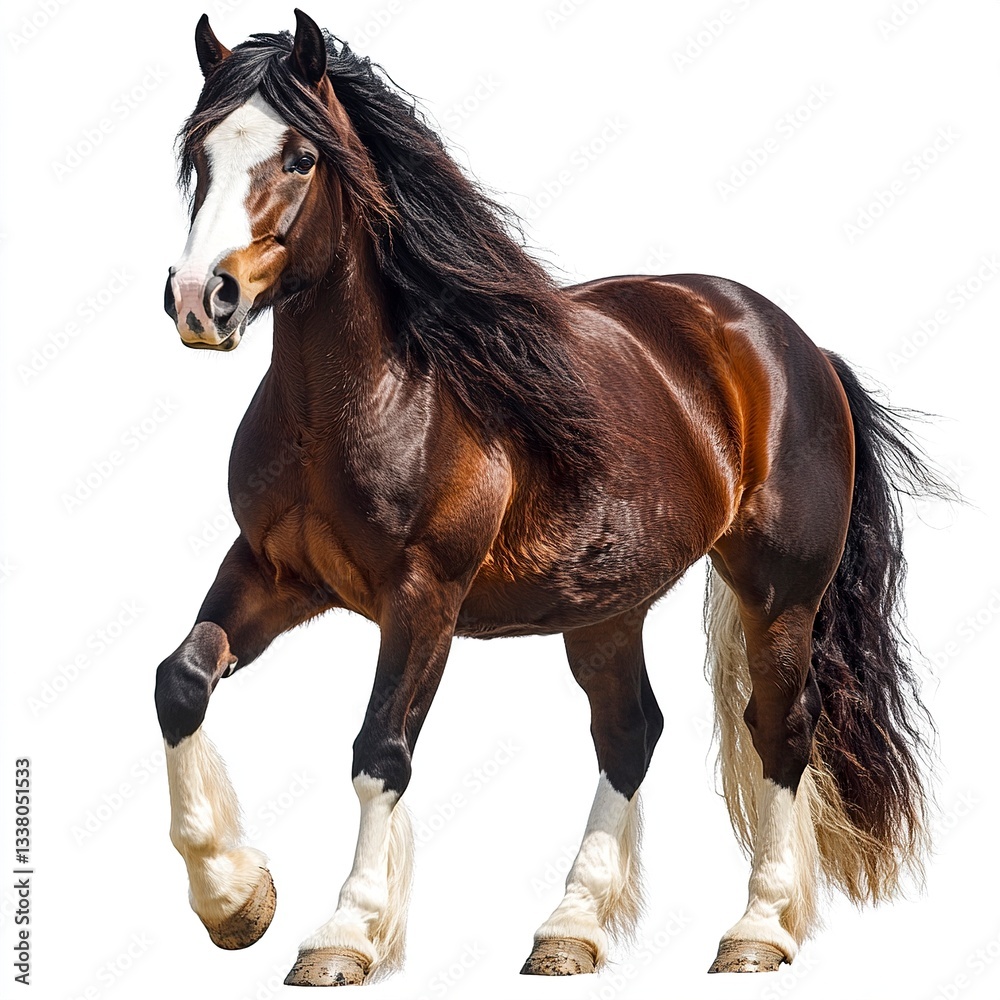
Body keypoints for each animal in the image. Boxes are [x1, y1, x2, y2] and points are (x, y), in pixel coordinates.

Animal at [157, 9, 949, 986]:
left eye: (301, 157)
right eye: (199, 152)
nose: (202, 298)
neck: (369, 399)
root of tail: (795, 346)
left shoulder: (422, 596)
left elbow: (380, 752)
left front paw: (345, 932)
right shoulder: (272, 573)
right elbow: (181, 682)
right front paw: (233, 899)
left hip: (780, 597)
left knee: (780, 730)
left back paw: (758, 929)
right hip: (606, 607)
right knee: (630, 733)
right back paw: (572, 926)